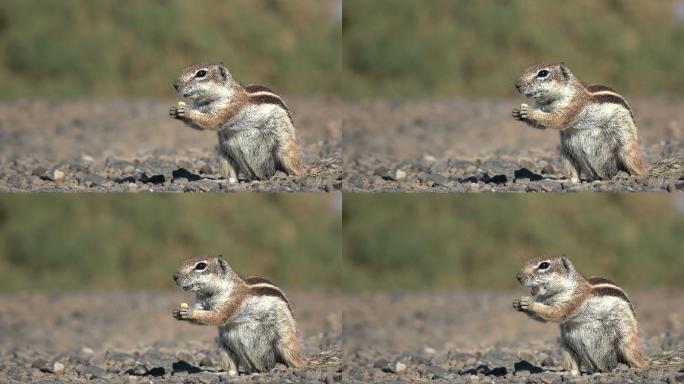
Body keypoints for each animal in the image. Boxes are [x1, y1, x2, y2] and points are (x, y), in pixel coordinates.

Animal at [168, 63, 302, 183]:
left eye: (201, 73)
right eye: (184, 69)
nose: (175, 85)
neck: (208, 102)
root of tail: (260, 176)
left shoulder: (231, 107)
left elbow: (213, 121)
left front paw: (187, 111)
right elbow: (198, 126)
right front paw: (176, 113)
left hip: (285, 148)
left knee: (294, 166)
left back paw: (289, 175)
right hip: (225, 154)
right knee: (232, 172)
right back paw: (228, 181)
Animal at [171, 255, 302, 376]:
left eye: (201, 266)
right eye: (185, 261)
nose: (175, 276)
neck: (209, 294)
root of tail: (260, 368)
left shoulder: (233, 301)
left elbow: (217, 316)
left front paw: (190, 312)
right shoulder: (201, 302)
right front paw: (178, 312)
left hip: (285, 341)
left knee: (295, 358)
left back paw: (292, 368)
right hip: (225, 347)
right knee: (232, 367)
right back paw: (224, 373)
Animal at [512, 62, 648, 182]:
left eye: (543, 73)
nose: (517, 85)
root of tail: (602, 175)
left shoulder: (573, 107)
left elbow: (557, 119)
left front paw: (529, 111)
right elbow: (541, 125)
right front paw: (518, 114)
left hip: (627, 148)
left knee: (639, 169)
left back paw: (631, 176)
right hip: (567, 154)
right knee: (574, 174)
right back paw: (567, 181)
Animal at [516, 254, 644, 374]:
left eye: (544, 265)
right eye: (527, 261)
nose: (518, 277)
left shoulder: (573, 301)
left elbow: (556, 313)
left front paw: (530, 303)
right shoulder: (545, 300)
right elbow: (543, 318)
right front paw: (518, 304)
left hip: (626, 340)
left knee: (637, 359)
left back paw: (634, 367)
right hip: (568, 346)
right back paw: (568, 372)